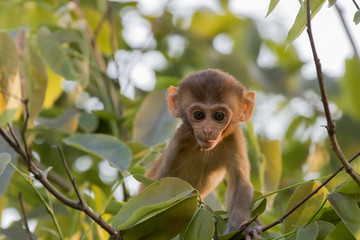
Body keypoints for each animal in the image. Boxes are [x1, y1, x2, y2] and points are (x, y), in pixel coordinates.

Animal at [143, 69, 258, 238]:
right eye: (198, 115)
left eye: (219, 116)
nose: (207, 130)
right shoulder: (180, 138)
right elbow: (165, 182)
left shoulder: (234, 138)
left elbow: (240, 183)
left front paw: (240, 230)